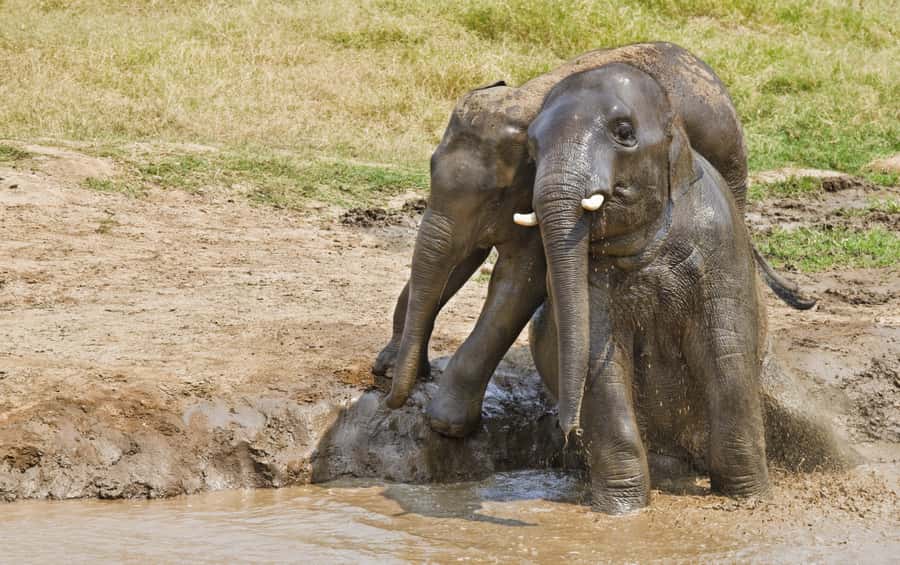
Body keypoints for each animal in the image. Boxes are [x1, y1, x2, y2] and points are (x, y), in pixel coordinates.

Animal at [376, 42, 813, 438]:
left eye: (498, 193)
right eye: (430, 167)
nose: (392, 401)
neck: (526, 95)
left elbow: (518, 283)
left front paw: (445, 424)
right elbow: (456, 260)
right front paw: (391, 369)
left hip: (729, 164)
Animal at [526, 63, 770, 513]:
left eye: (624, 132)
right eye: (531, 147)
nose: (567, 432)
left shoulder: (722, 245)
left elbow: (725, 353)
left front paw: (751, 501)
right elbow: (598, 362)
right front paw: (623, 511)